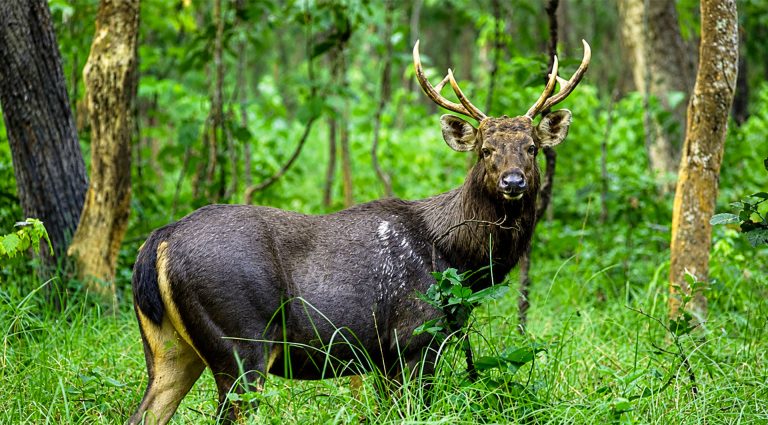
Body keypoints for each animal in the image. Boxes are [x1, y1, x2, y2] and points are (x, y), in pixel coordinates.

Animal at [128, 40, 590, 425]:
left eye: (532, 147)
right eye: (485, 150)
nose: (514, 181)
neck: (456, 258)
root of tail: (158, 242)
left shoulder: (383, 356)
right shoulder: (414, 336)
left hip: (169, 347)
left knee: (145, 412)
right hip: (241, 340)